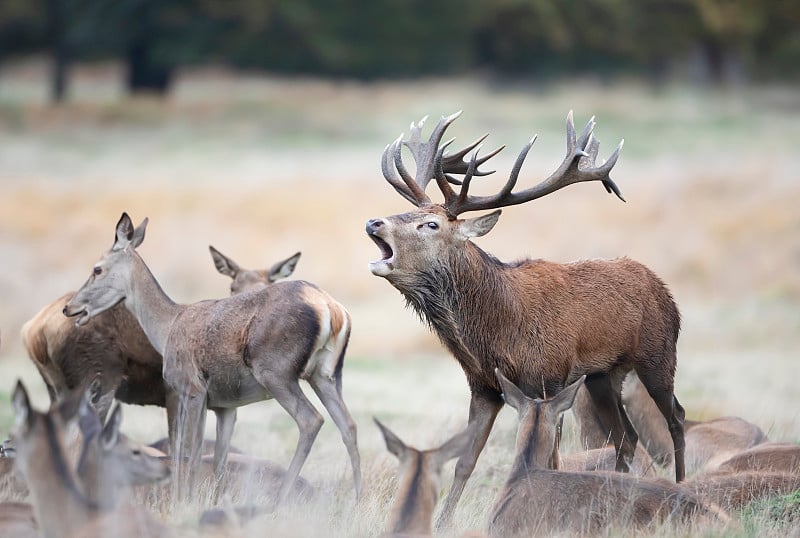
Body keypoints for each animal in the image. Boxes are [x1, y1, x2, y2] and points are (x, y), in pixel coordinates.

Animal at [64, 211, 360, 500]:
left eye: (97, 268)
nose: (69, 308)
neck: (167, 327)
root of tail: (332, 310)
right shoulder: (225, 405)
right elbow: (217, 460)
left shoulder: (192, 387)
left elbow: (187, 452)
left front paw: (182, 502)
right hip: (326, 374)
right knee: (348, 425)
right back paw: (357, 498)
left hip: (276, 371)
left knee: (311, 420)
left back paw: (282, 499)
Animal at [368, 110, 688, 524]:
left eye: (431, 224)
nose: (374, 222)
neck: (499, 332)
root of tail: (663, 288)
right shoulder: (483, 386)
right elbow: (465, 463)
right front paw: (441, 522)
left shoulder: (550, 378)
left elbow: (551, 458)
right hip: (602, 375)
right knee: (626, 438)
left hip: (658, 353)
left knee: (676, 417)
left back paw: (681, 485)